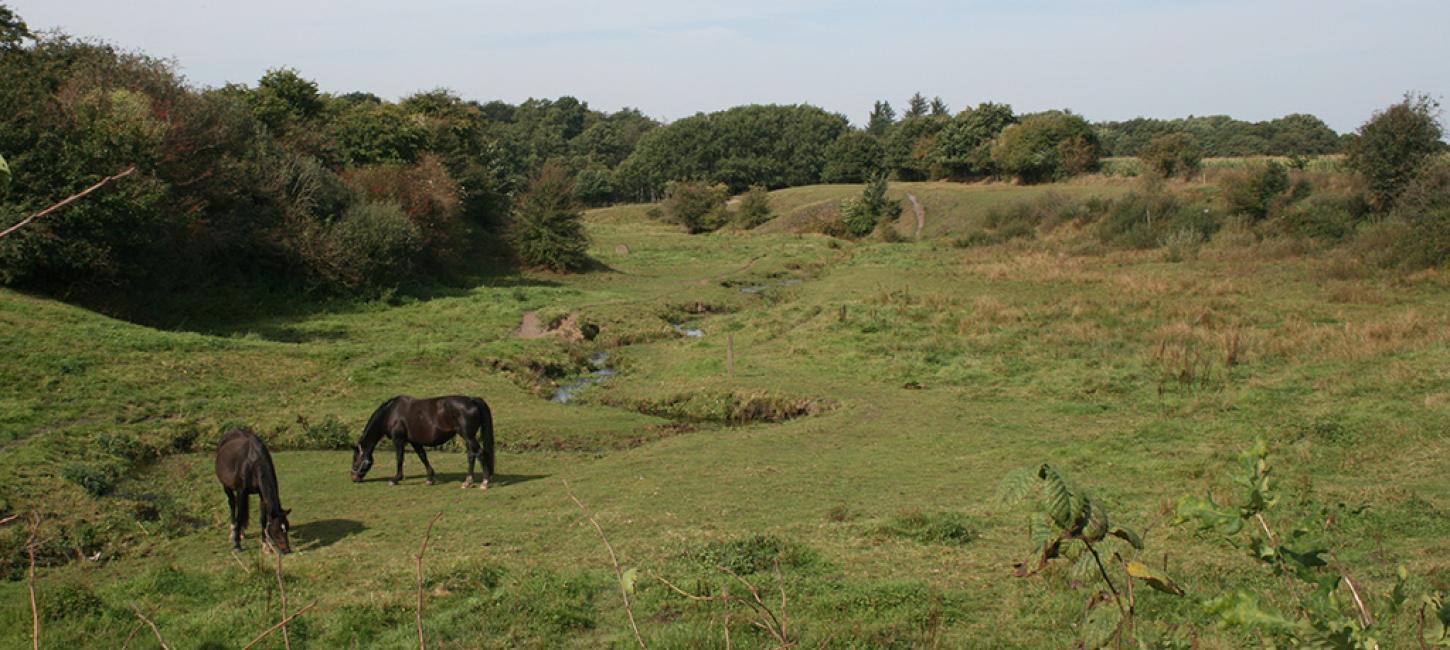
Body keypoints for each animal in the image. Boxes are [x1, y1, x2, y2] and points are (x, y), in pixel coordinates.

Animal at [214, 426, 291, 554]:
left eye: (287, 527)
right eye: (276, 530)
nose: (287, 550)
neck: (253, 462)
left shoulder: (261, 495)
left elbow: (263, 518)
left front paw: (265, 545)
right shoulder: (241, 491)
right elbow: (240, 515)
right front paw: (237, 545)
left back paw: (241, 532)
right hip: (227, 486)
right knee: (232, 504)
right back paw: (233, 531)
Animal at [348, 394, 495, 487]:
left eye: (356, 459)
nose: (353, 478)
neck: (391, 413)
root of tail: (472, 400)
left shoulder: (398, 439)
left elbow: (399, 458)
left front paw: (395, 479)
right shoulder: (415, 441)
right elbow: (423, 457)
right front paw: (430, 478)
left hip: (468, 436)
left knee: (480, 453)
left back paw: (485, 482)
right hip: (468, 437)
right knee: (472, 455)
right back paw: (468, 481)